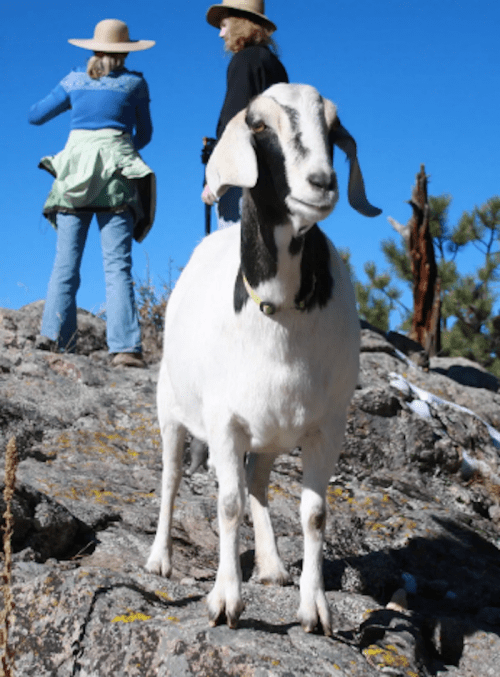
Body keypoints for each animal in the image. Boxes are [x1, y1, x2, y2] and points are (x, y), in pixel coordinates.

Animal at [146, 83, 381, 635]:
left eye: (333, 128)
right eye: (259, 125)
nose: (322, 182)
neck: (280, 313)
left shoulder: (326, 425)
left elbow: (313, 514)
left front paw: (315, 610)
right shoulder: (224, 421)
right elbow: (228, 505)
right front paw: (225, 601)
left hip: (271, 432)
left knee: (258, 481)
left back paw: (272, 565)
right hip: (171, 409)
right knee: (171, 478)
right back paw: (159, 558)